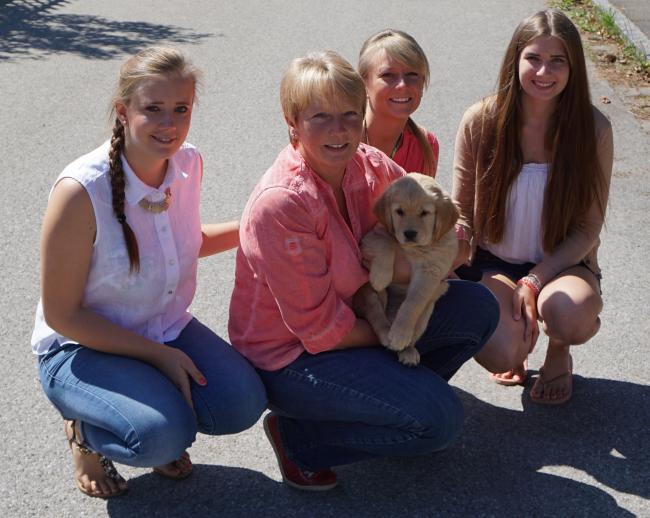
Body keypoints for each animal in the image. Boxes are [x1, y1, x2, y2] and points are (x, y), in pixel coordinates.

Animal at [354, 173, 459, 366]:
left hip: (426, 313)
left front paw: (400, 334)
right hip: (373, 296)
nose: (409, 234)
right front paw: (381, 276)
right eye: (399, 211)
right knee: (375, 313)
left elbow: (413, 303)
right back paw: (386, 333)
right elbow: (387, 242)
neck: (415, 249)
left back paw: (406, 349)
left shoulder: (432, 271)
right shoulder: (371, 238)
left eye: (424, 213)